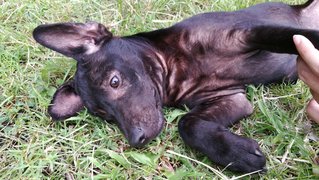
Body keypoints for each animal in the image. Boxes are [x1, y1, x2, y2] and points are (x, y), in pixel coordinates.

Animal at [33, 0, 319, 174]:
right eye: (104, 116)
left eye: (115, 82)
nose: (136, 140)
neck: (176, 67)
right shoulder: (231, 98)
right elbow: (188, 124)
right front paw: (237, 154)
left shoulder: (249, 33)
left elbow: (293, 37)